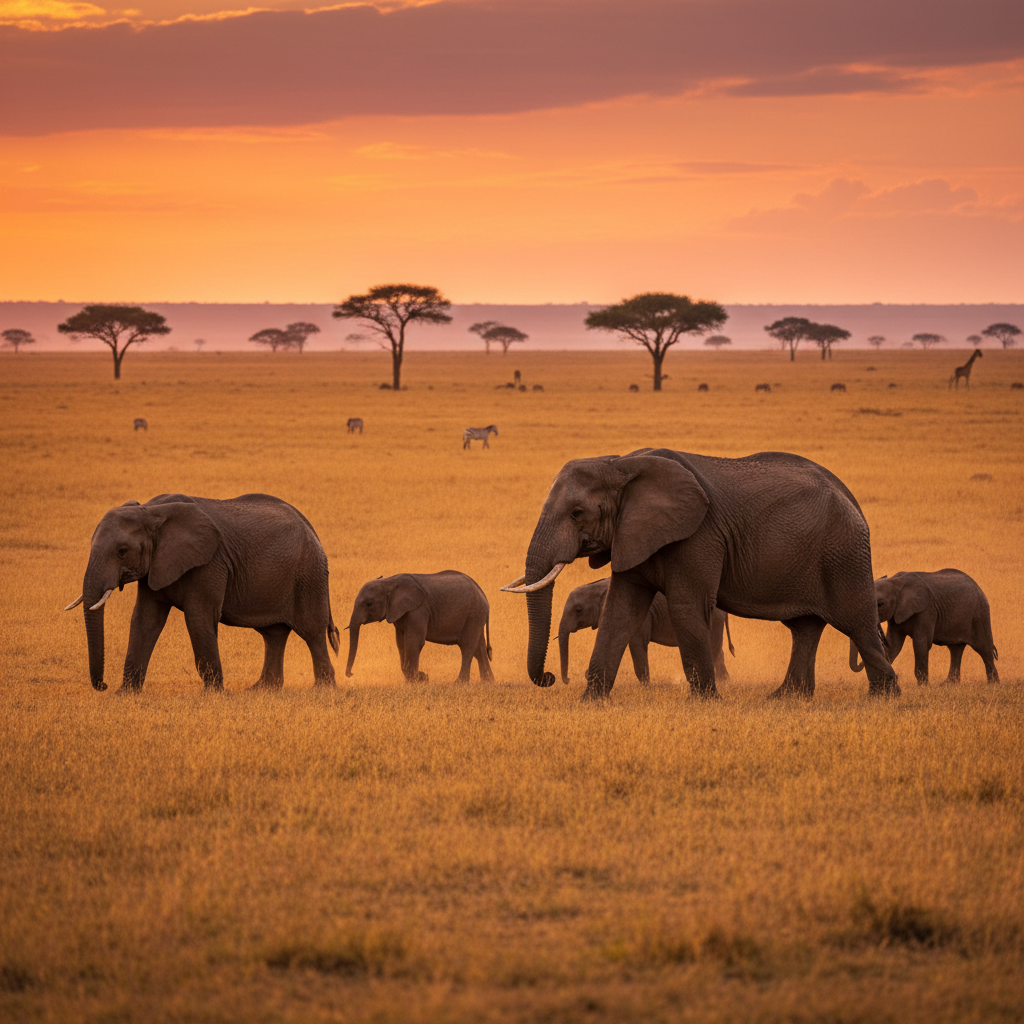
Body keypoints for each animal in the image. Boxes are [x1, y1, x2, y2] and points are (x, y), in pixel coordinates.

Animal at [64, 493, 340, 692]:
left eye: (122, 551)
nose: (103, 685)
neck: (151, 511)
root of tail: (311, 528)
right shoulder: (156, 565)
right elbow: (145, 620)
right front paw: (125, 694)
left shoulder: (210, 562)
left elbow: (199, 618)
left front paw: (213, 695)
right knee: (274, 634)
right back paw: (261, 690)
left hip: (308, 575)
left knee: (312, 632)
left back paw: (322, 691)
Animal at [346, 571, 494, 683]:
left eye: (369, 604)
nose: (350, 674)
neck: (389, 582)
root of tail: (483, 594)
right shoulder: (399, 613)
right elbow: (401, 644)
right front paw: (418, 679)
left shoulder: (418, 610)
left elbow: (413, 642)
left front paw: (419, 679)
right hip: (476, 616)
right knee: (479, 648)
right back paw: (488, 683)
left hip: (473, 614)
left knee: (467, 646)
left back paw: (460, 684)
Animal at [558, 578, 734, 685]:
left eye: (578, 610)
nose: (568, 680)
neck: (598, 586)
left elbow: (637, 645)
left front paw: (646, 687)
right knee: (718, 653)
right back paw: (724, 682)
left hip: (713, 620)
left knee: (714, 651)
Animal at [850, 569, 998, 685]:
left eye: (880, 604)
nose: (897, 676)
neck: (896, 582)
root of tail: (978, 586)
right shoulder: (896, 614)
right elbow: (894, 645)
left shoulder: (927, 610)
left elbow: (921, 643)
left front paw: (923, 687)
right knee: (955, 649)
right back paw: (948, 685)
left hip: (980, 613)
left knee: (984, 649)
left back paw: (993, 685)